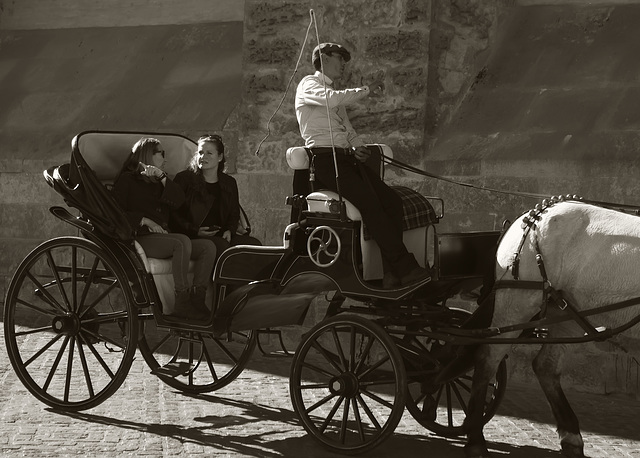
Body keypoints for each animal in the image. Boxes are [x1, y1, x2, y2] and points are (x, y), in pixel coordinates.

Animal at [462, 200, 640, 458]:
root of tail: (531, 214)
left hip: (567, 315)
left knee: (546, 366)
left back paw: (571, 435)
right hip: (517, 302)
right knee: (488, 357)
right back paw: (475, 437)